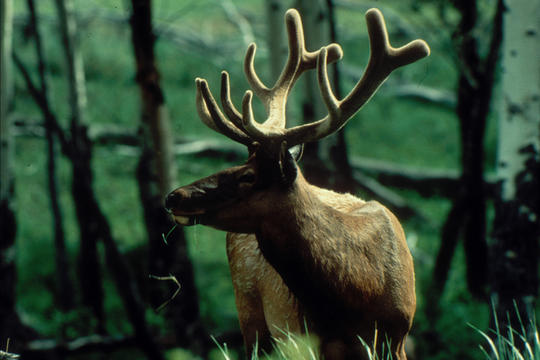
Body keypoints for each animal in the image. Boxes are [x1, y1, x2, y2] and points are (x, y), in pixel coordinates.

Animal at [167, 8, 428, 360]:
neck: (359, 292)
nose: (174, 196)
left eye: (247, 176)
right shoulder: (308, 339)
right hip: (251, 315)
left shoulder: (398, 337)